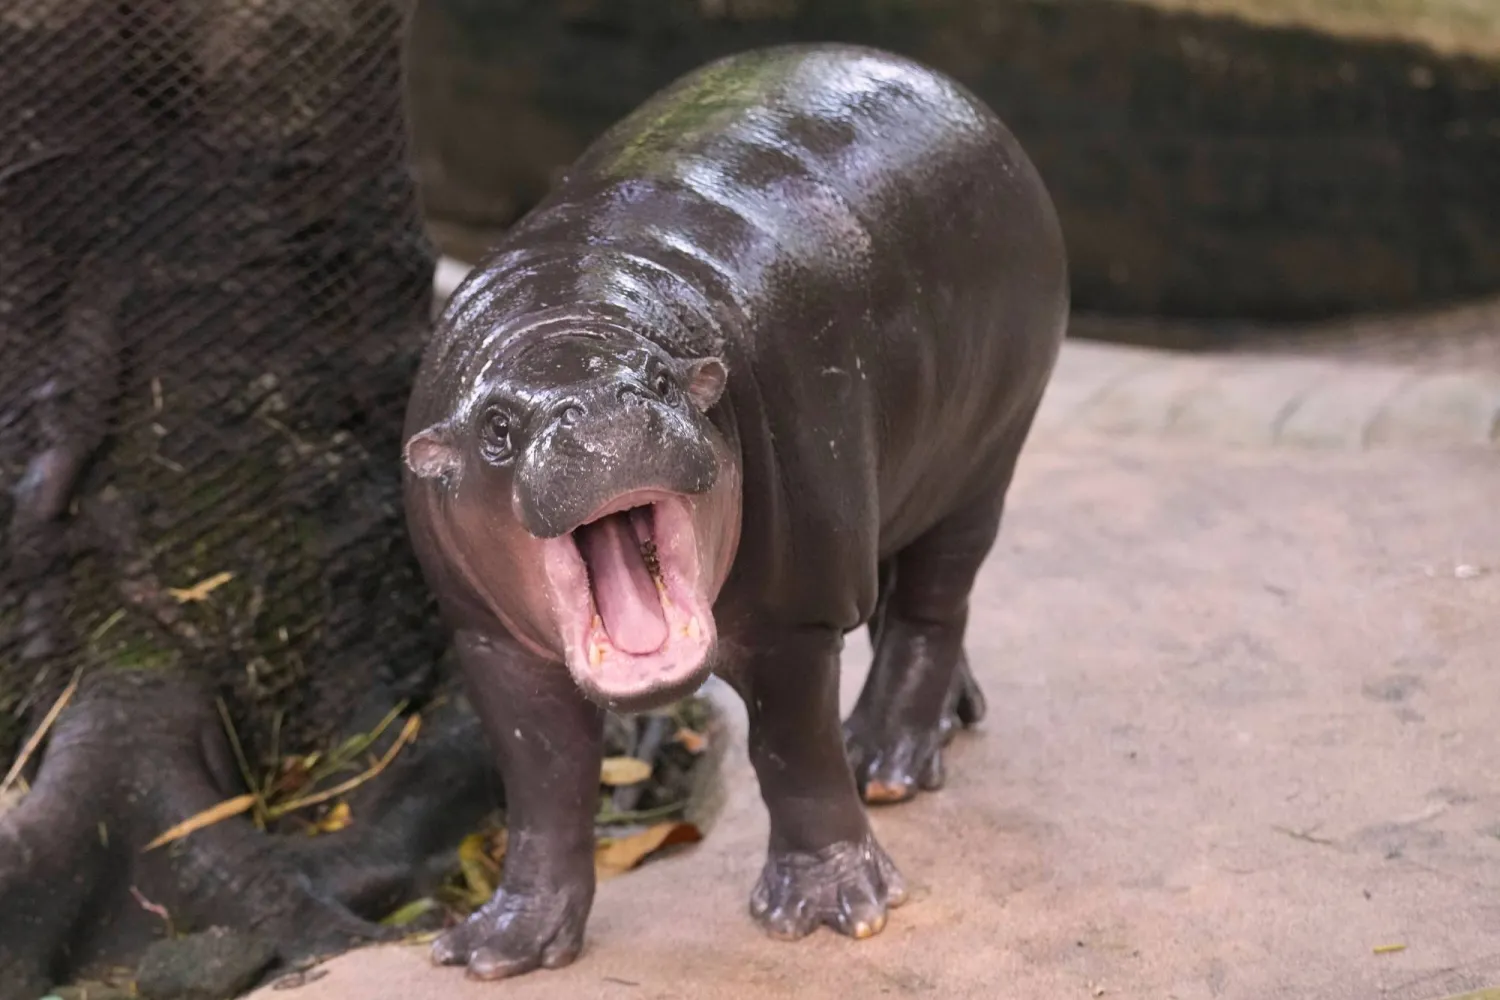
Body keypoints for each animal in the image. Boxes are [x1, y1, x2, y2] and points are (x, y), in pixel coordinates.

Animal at [402, 42, 1068, 981]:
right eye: (496, 427)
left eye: (660, 377)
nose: (599, 410)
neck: (568, 308)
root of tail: (946, 86)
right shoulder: (488, 641)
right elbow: (543, 780)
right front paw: (499, 946)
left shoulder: (796, 616)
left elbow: (791, 751)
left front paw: (830, 910)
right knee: (905, 590)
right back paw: (944, 724)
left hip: (986, 453)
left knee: (934, 603)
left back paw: (886, 760)